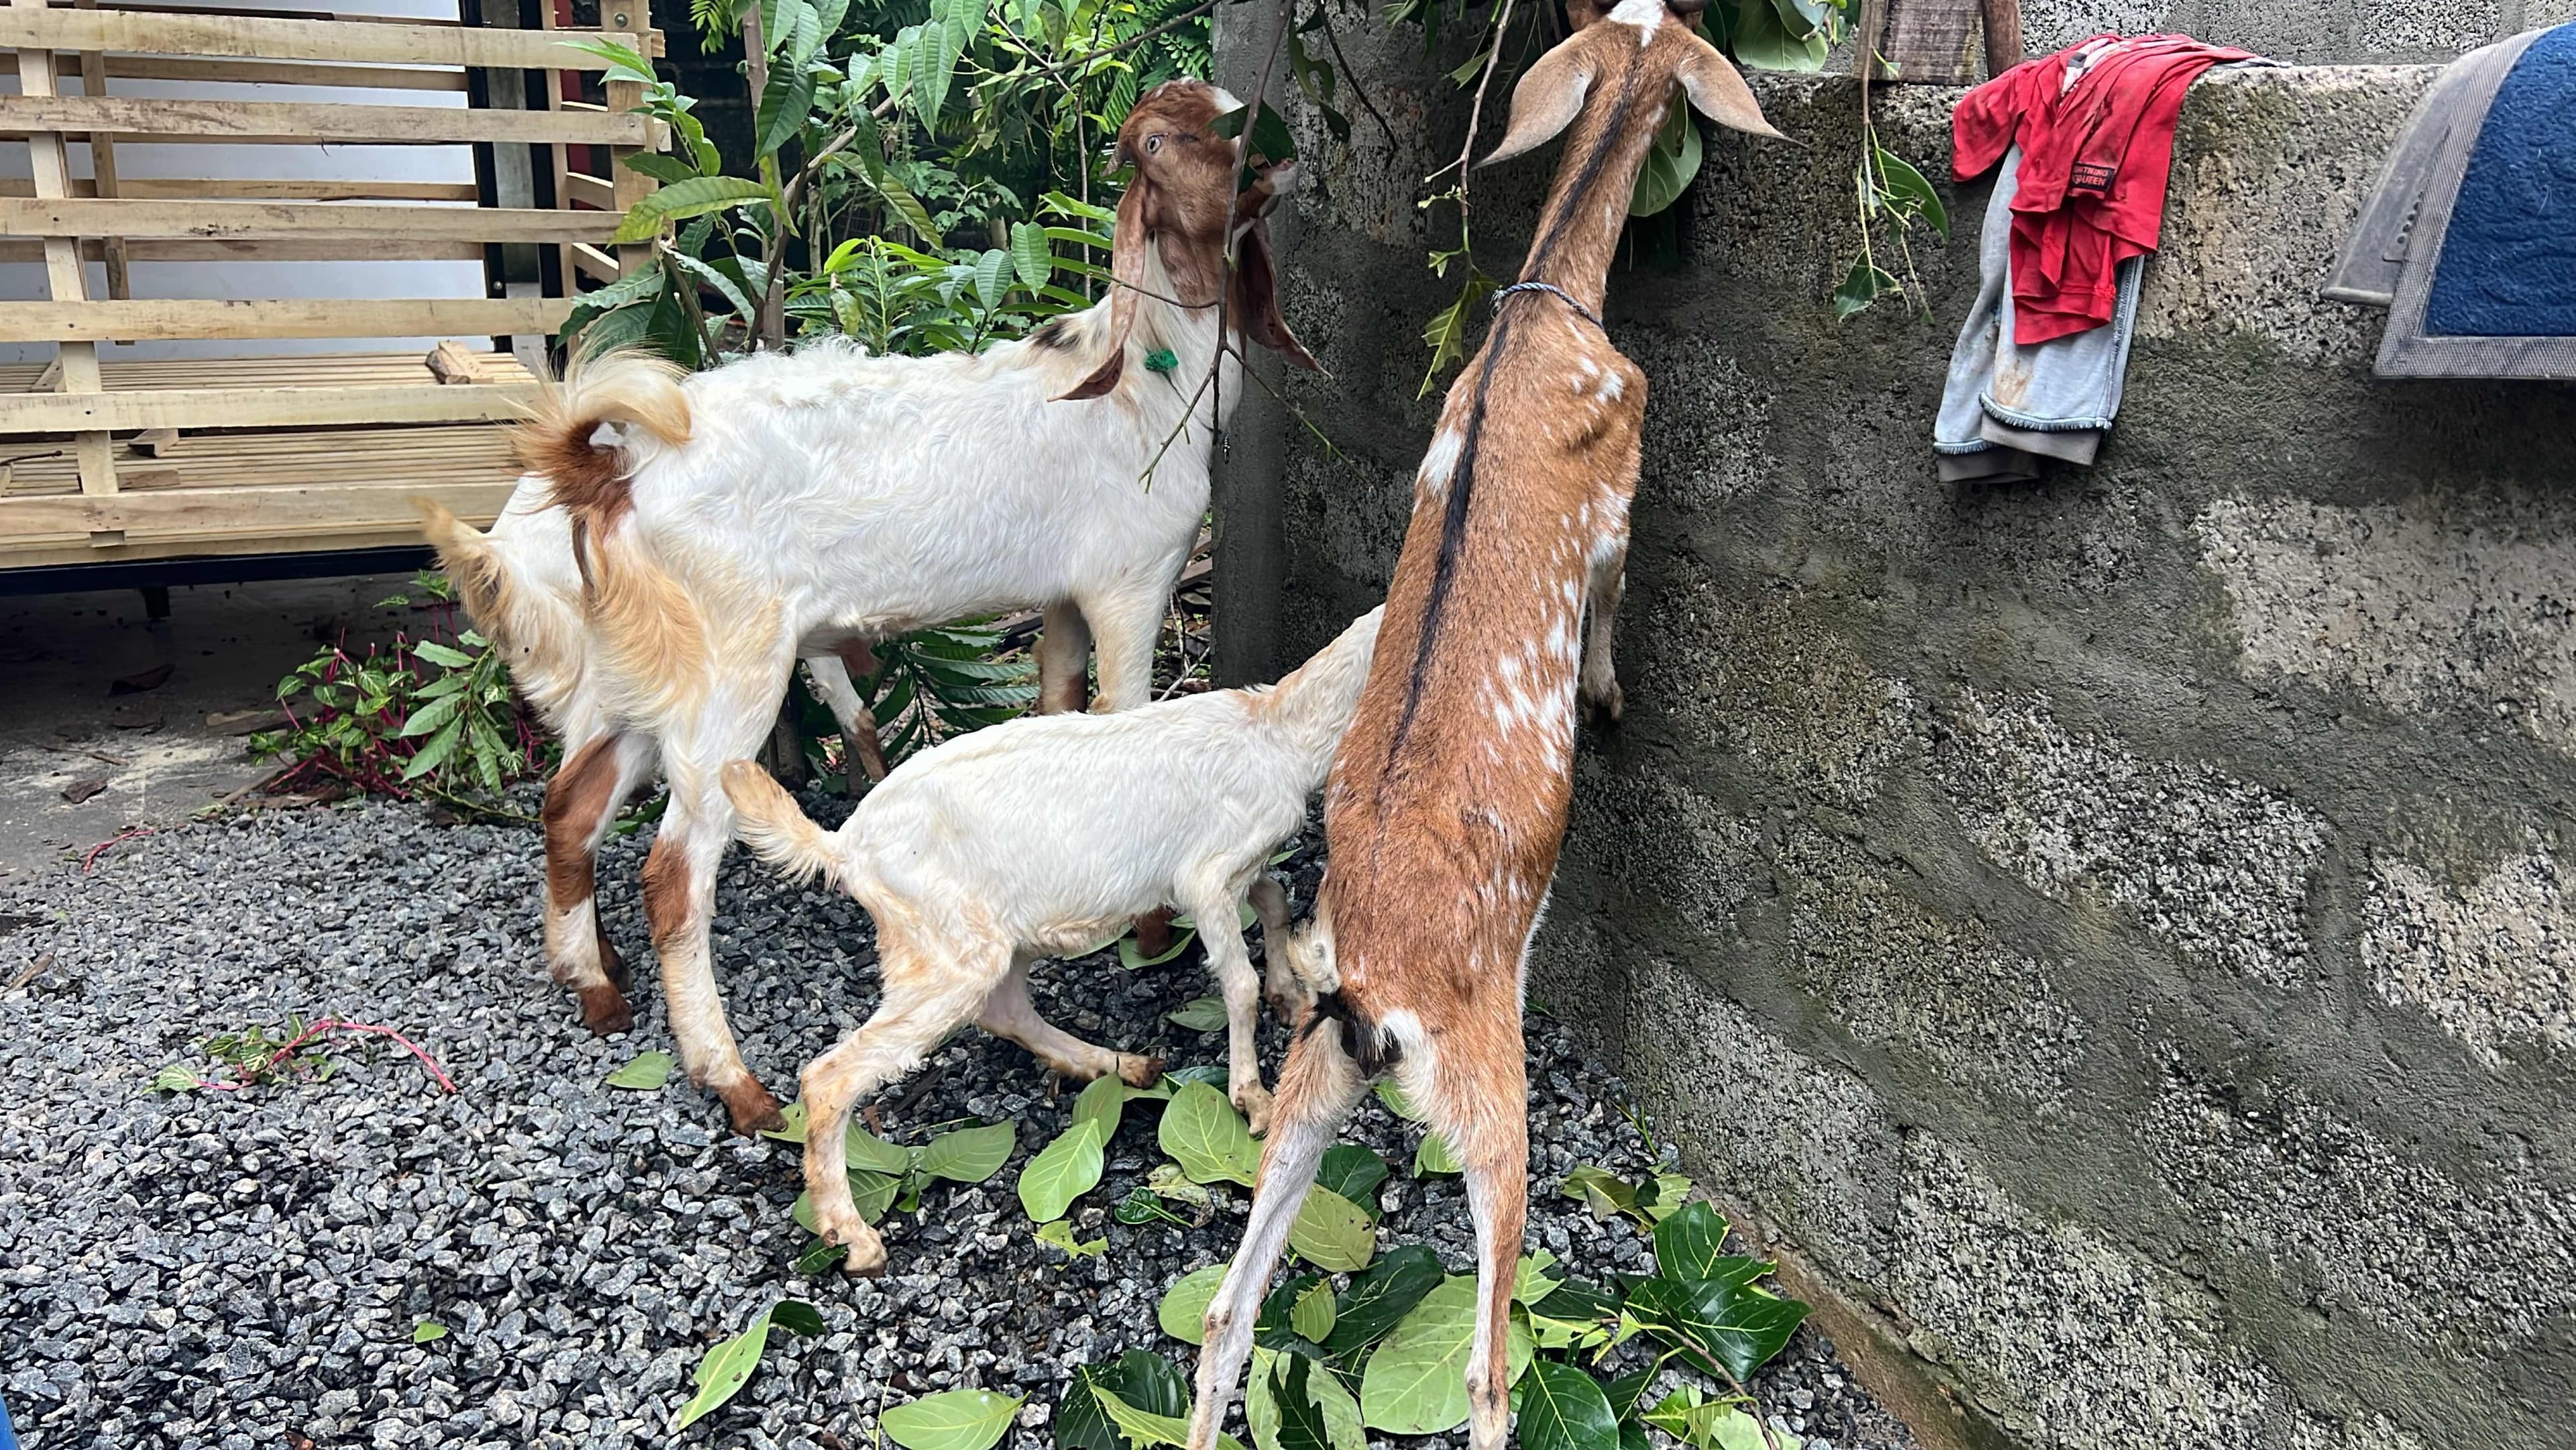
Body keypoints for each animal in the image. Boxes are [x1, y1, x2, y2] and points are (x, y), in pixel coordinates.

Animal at [722, 606, 1383, 1274]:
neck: (1275, 730)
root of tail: (843, 847)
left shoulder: (1239, 868)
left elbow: (1275, 901)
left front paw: (1290, 995)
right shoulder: (1206, 876)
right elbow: (1238, 982)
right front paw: (1254, 1097)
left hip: (993, 938)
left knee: (1007, 1009)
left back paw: (1123, 1065)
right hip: (945, 945)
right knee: (831, 1075)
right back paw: (853, 1236)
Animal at [1185, 7, 1779, 1449]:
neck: (1542, 314)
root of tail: (1373, 1002)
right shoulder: (1623, 472)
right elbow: (1614, 584)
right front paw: (1609, 696)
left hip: (1312, 1081)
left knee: (1225, 1316)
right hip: (1488, 1099)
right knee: (1489, 1376)